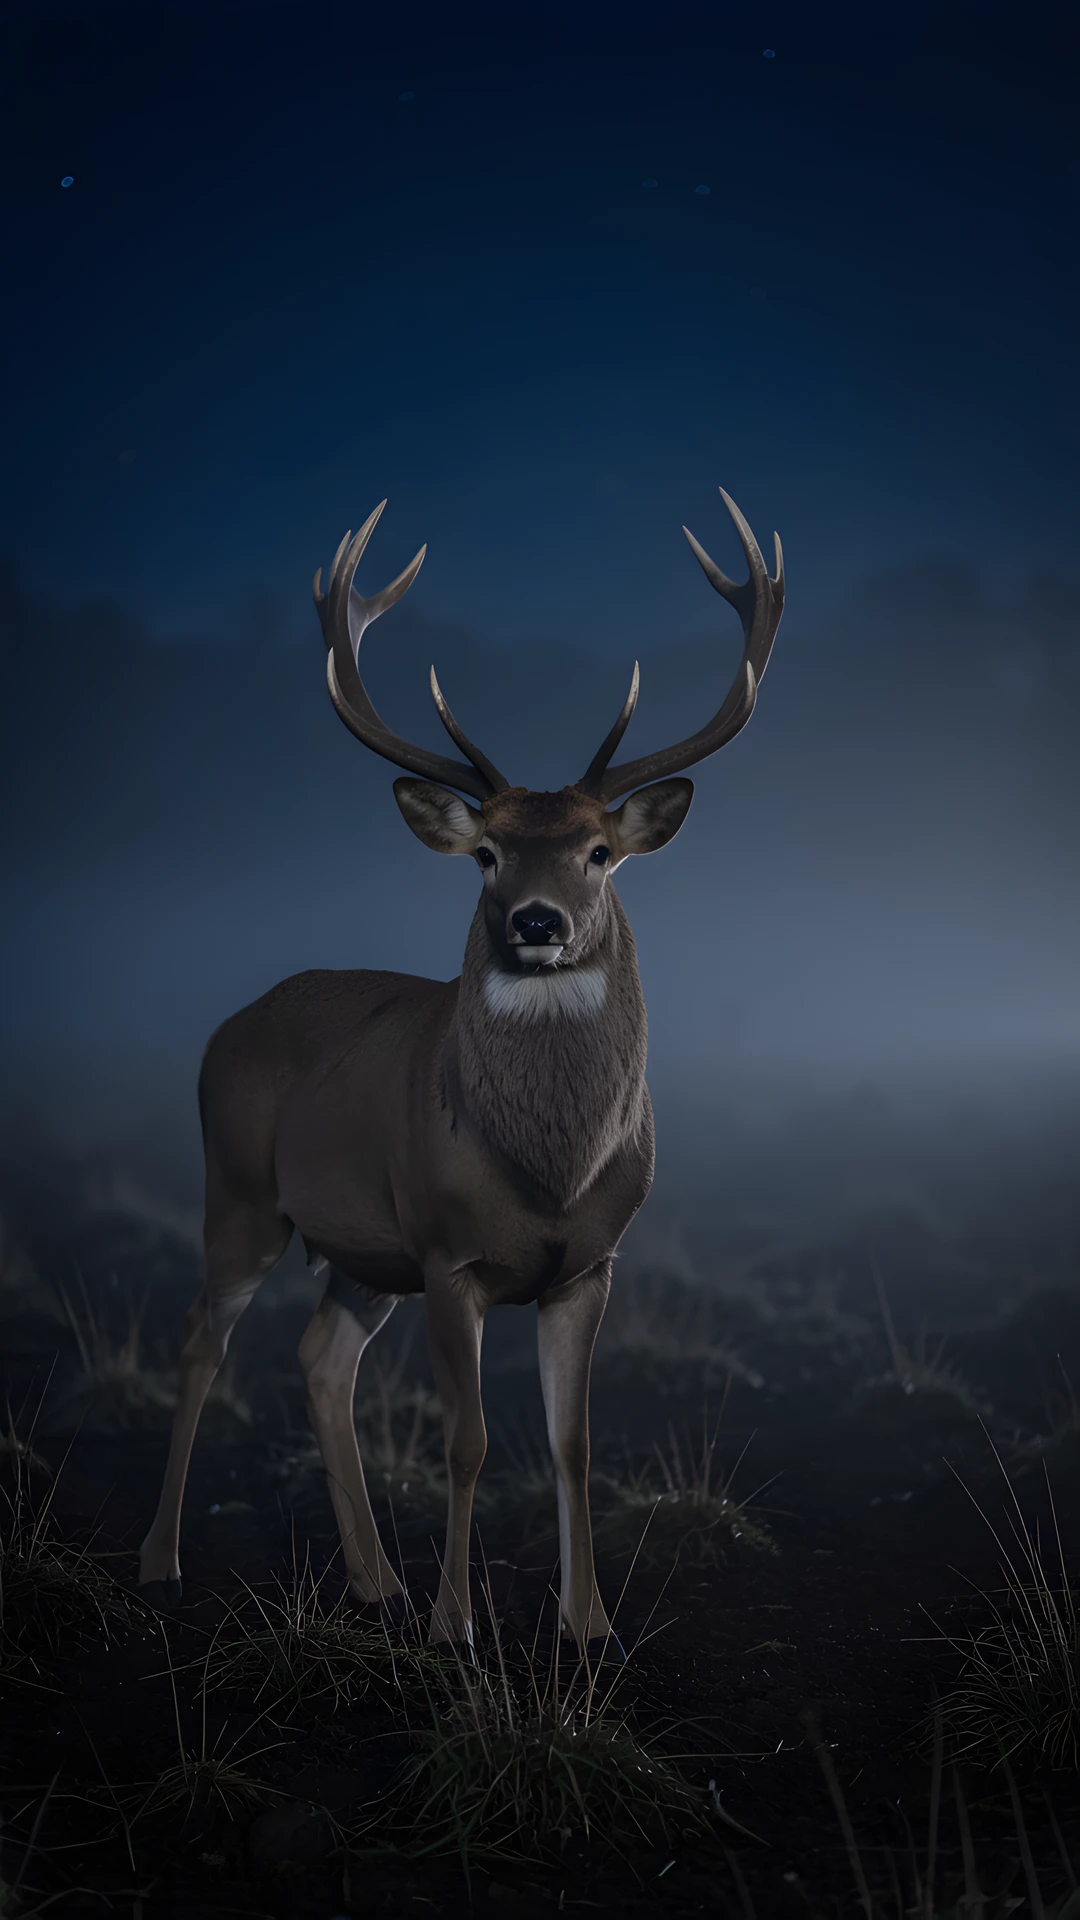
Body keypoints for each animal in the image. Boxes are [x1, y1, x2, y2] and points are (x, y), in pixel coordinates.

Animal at [138, 486, 785, 1662]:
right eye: (486, 854)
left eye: (598, 853)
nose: (537, 921)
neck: (548, 1172)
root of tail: (226, 1027)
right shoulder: (447, 1252)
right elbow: (471, 1439)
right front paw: (458, 1627)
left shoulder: (589, 1263)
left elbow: (573, 1443)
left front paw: (589, 1626)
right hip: (240, 1191)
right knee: (204, 1337)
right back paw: (163, 1567)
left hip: (360, 1249)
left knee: (318, 1355)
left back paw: (373, 1583)